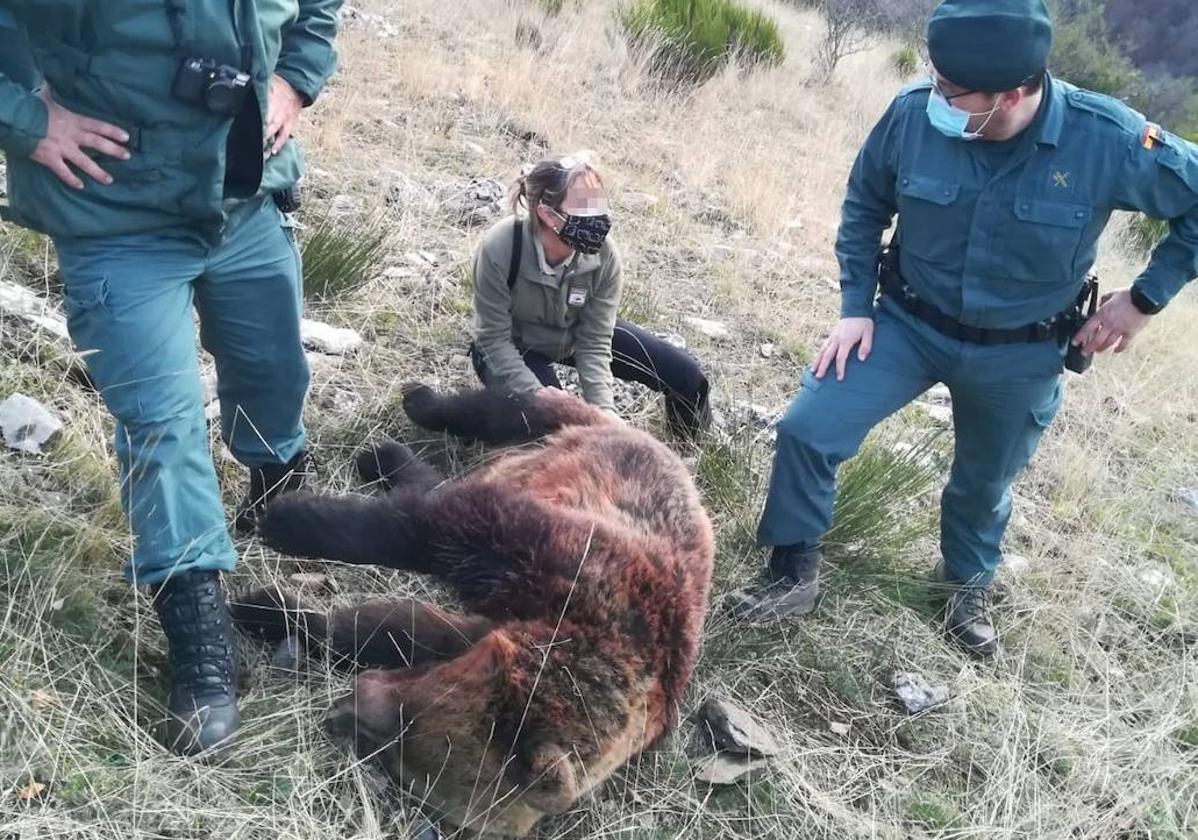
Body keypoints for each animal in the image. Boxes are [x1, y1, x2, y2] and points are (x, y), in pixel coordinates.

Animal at [233, 383, 709, 834]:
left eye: (397, 759)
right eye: (410, 720)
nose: (339, 714)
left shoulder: (486, 629)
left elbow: (396, 629)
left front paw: (271, 613)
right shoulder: (568, 562)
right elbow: (440, 529)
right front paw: (289, 521)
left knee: (437, 483)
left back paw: (387, 460)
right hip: (573, 438)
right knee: (503, 414)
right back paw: (411, 413)